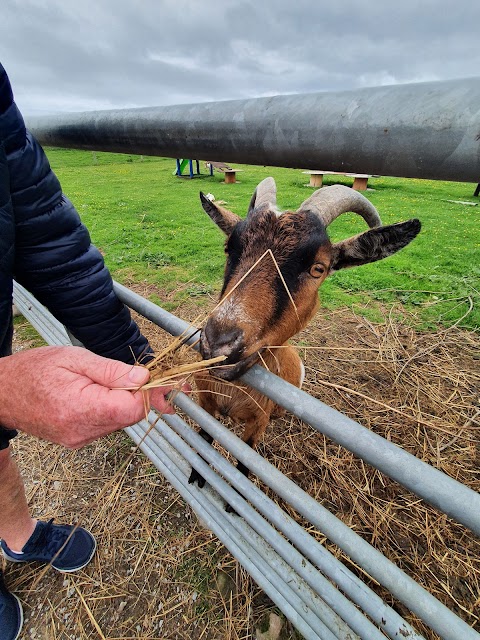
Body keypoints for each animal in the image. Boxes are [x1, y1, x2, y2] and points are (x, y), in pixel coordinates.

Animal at [188, 178, 420, 492]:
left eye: (318, 268)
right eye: (229, 248)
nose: (218, 344)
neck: (230, 392)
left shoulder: (257, 422)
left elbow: (245, 464)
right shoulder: (206, 403)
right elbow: (204, 438)